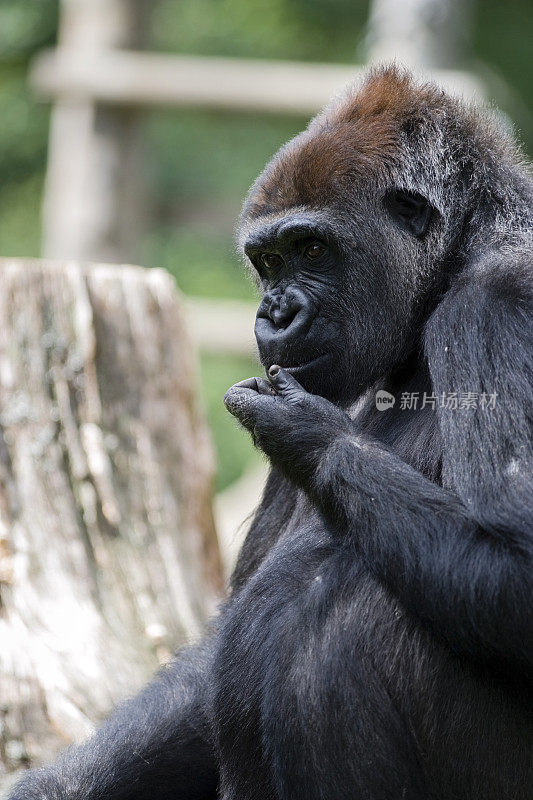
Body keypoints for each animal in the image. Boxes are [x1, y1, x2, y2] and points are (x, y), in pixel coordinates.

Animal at [8, 64, 532, 800]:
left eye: (311, 248)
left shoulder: (498, 305)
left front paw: (308, 433)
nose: (275, 314)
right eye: (269, 260)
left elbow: (518, 567)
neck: (457, 261)